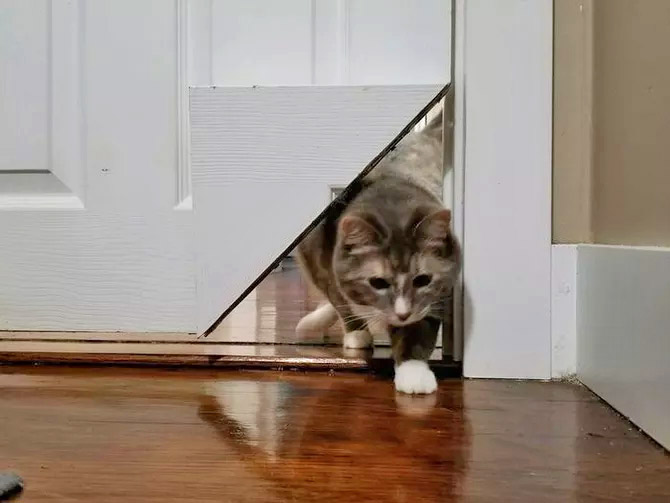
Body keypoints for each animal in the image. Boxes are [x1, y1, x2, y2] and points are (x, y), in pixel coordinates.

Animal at [296, 109, 460, 394]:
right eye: (378, 282)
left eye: (423, 280)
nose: (402, 313)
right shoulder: (316, 257)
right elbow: (339, 299)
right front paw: (357, 334)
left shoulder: (434, 295)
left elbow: (416, 332)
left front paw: (414, 374)